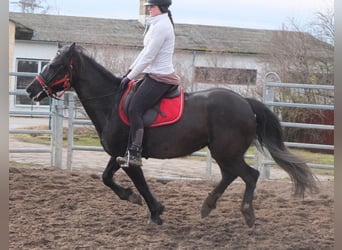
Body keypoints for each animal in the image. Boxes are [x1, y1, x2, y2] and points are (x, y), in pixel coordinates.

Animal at [26, 43, 318, 227]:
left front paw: (155, 212)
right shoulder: (118, 154)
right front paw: (131, 197)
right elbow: (106, 178)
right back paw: (207, 206)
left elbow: (140, 184)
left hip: (226, 152)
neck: (111, 102)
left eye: (55, 65)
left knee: (249, 175)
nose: (30, 90)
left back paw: (246, 214)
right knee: (231, 175)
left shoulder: (130, 158)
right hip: (224, 153)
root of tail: (245, 102)